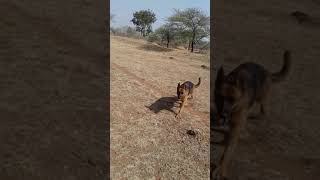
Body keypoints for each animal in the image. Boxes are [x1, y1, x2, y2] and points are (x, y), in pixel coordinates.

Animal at [214, 50, 292, 179]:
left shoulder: (236, 126)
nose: (224, 116)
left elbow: (227, 151)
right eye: (221, 97)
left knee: (264, 112)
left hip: (261, 98)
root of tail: (267, 71)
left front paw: (220, 169)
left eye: (232, 100)